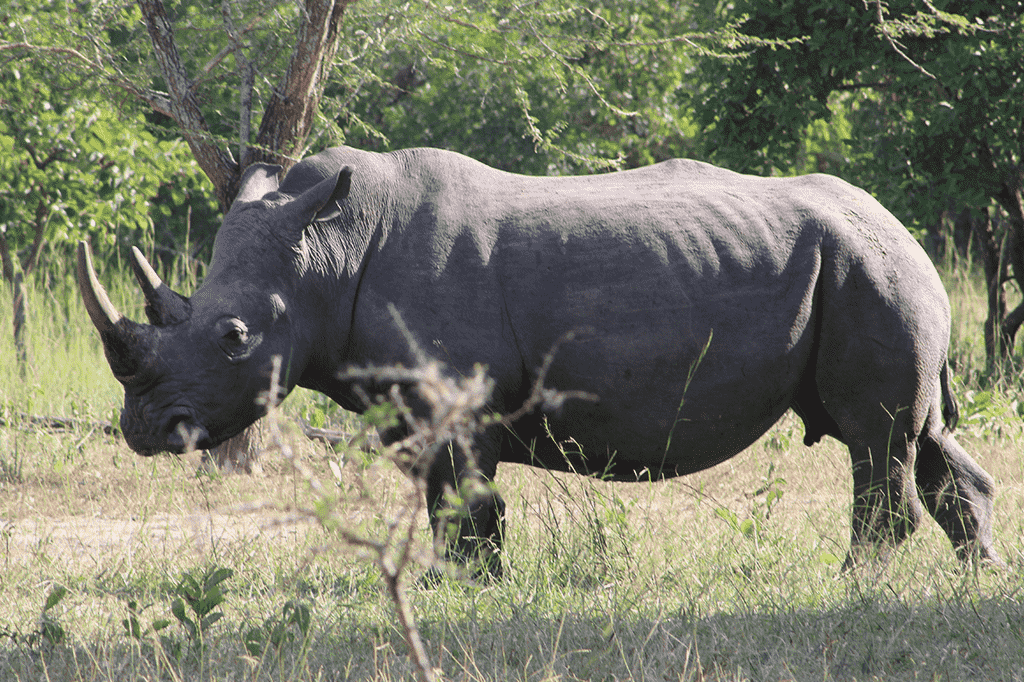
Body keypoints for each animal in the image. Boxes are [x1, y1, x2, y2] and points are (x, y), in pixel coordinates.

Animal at [78, 146, 1001, 572]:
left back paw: (856, 581)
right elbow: (447, 502)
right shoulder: (413, 403)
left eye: (234, 339)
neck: (327, 255)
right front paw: (457, 584)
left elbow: (468, 504)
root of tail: (905, 232)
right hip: (869, 270)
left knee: (875, 439)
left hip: (869, 273)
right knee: (914, 437)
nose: (145, 429)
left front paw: (467, 591)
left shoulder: (457, 400)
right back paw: (976, 579)